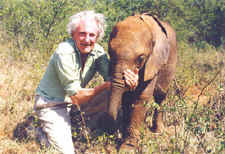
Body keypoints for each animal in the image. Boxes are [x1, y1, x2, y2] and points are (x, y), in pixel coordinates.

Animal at [100, 13, 176, 152]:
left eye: (141, 58)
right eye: (110, 53)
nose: (110, 132)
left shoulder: (154, 61)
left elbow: (141, 97)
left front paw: (127, 149)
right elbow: (126, 97)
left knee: (160, 95)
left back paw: (158, 131)